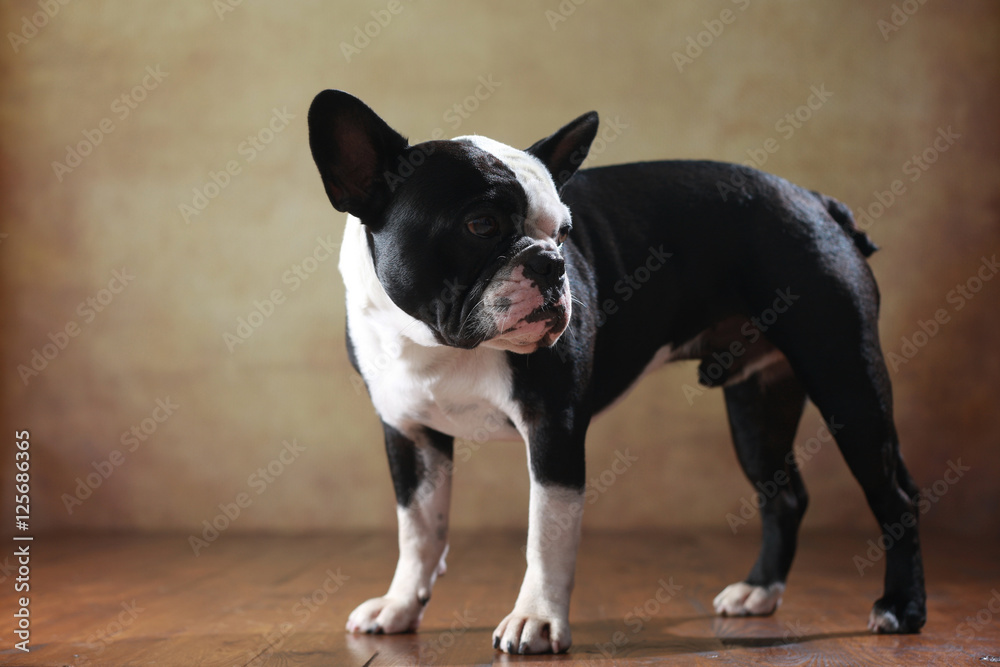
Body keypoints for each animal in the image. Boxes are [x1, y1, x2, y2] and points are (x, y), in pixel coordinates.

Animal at [308, 91, 924, 656]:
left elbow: (546, 534)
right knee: (783, 494)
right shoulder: (409, 434)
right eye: (480, 224)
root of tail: (816, 201)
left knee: (896, 494)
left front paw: (536, 620)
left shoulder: (553, 429)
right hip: (759, 406)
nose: (553, 264)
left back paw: (900, 608)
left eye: (564, 233)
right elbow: (420, 530)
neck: (440, 344)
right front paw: (400, 605)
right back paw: (759, 591)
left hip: (846, 380)